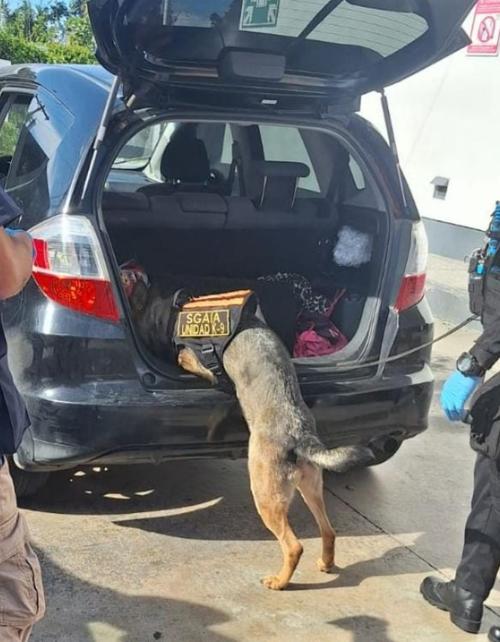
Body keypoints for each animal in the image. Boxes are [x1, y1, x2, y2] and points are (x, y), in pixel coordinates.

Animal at [129, 280, 372, 590]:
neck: (172, 309)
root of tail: (300, 434)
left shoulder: (192, 358)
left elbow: (188, 361)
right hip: (311, 488)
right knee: (328, 531)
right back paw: (326, 564)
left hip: (265, 493)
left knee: (294, 546)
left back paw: (279, 581)